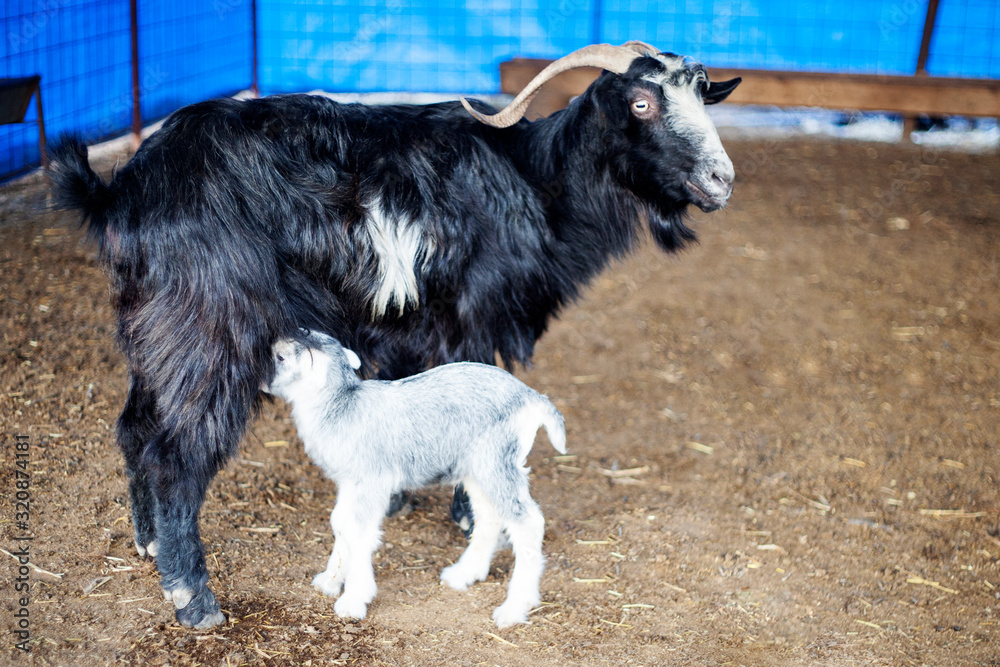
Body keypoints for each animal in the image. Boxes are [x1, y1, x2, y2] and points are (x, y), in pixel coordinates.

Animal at [262, 330, 565, 628]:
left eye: (281, 356)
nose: (262, 382)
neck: (340, 407)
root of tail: (532, 398)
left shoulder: (371, 480)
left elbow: (357, 531)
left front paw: (353, 600)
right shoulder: (350, 483)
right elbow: (341, 523)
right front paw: (329, 581)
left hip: (497, 462)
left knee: (527, 523)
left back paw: (514, 609)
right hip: (477, 470)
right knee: (489, 515)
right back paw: (463, 574)